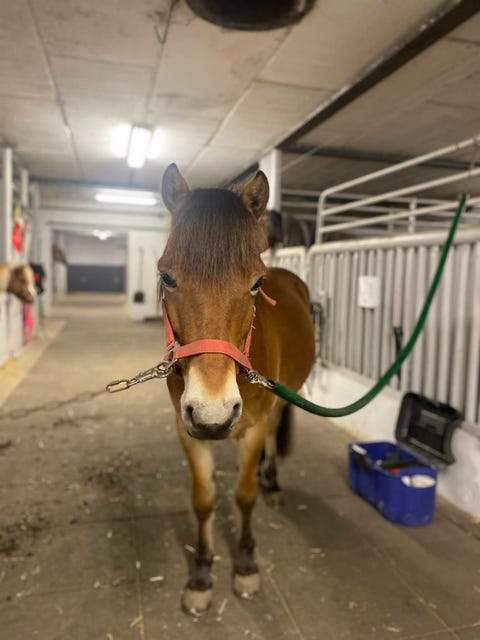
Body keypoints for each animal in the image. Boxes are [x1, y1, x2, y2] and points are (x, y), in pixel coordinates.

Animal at [158, 164, 315, 615]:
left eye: (256, 283)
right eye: (166, 276)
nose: (214, 413)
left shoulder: (254, 428)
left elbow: (244, 496)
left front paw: (245, 564)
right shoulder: (189, 432)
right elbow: (204, 499)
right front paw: (201, 573)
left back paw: (272, 481)